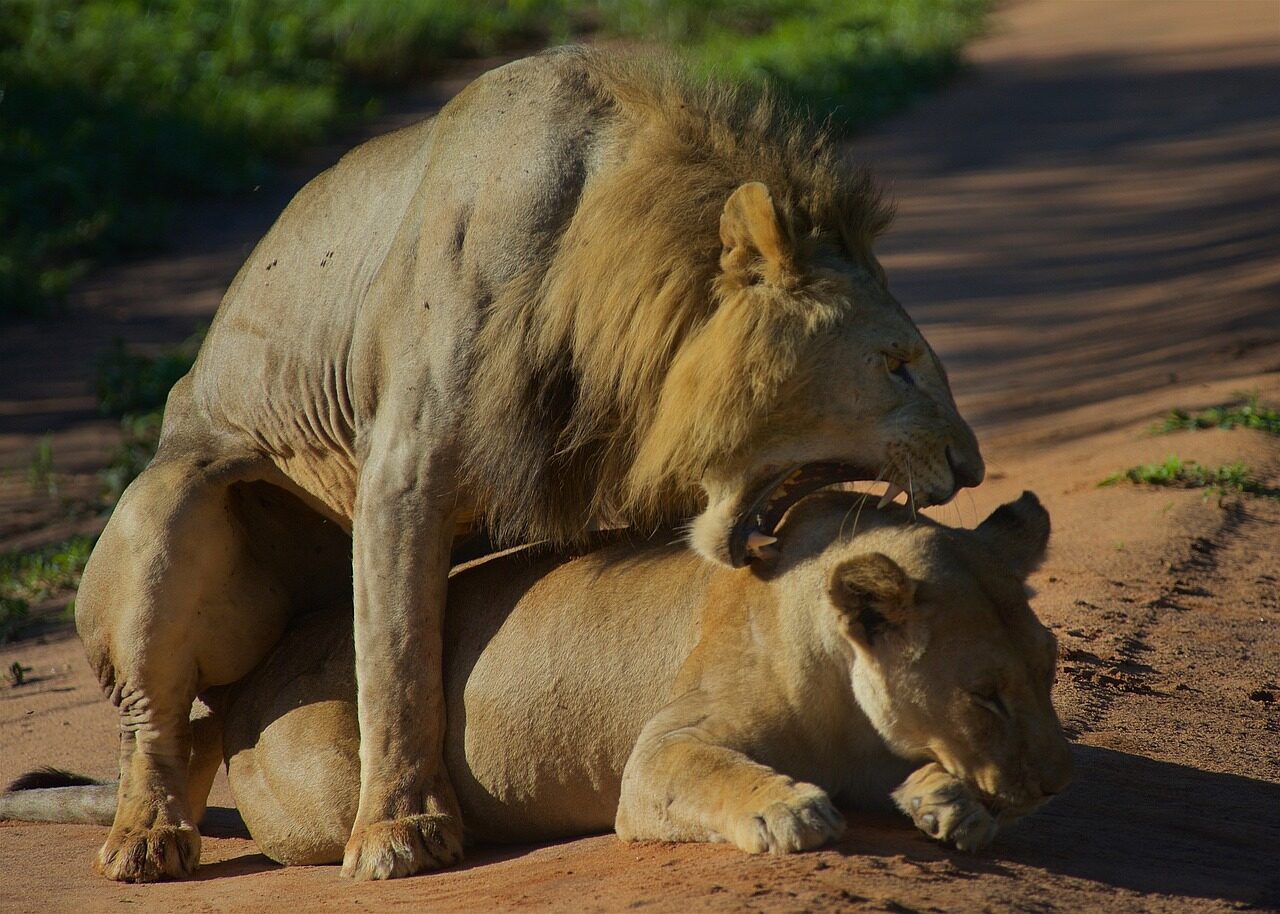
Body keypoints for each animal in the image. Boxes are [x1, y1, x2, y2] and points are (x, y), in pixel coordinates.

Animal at [6, 493, 1068, 868]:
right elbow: (717, 773)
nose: (1051, 787)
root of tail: (246, 693)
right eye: (986, 693)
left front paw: (950, 803)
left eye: (1049, 673)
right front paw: (788, 810)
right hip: (331, 775)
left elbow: (916, 774)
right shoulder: (658, 757)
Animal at [72, 46, 985, 881]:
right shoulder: (401, 471)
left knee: (199, 729)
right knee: (153, 722)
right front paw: (398, 832)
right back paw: (146, 838)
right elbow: (397, 665)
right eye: (898, 364)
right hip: (170, 502)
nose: (971, 465)